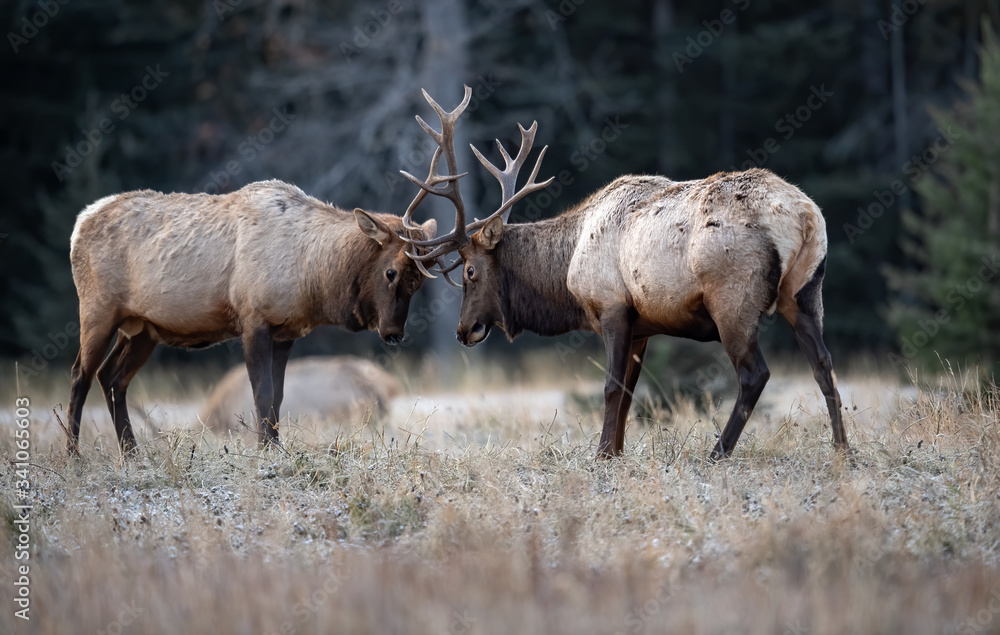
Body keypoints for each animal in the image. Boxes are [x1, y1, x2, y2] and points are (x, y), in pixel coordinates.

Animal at [65, 110, 463, 454]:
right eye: (390, 271)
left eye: (419, 281)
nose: (394, 332)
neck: (312, 277)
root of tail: (79, 224)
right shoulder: (253, 317)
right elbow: (262, 393)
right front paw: (264, 451)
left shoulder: (286, 331)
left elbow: (278, 397)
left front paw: (275, 448)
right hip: (97, 309)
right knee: (80, 375)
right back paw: (74, 455)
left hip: (143, 327)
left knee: (112, 377)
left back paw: (131, 452)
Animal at [400, 95, 849, 461]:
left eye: (470, 271)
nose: (463, 330)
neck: (567, 269)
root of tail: (805, 217)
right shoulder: (642, 325)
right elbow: (631, 391)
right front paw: (616, 451)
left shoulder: (612, 307)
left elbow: (611, 387)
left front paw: (601, 455)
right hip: (805, 292)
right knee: (823, 363)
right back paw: (843, 448)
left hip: (732, 298)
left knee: (756, 374)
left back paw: (717, 453)